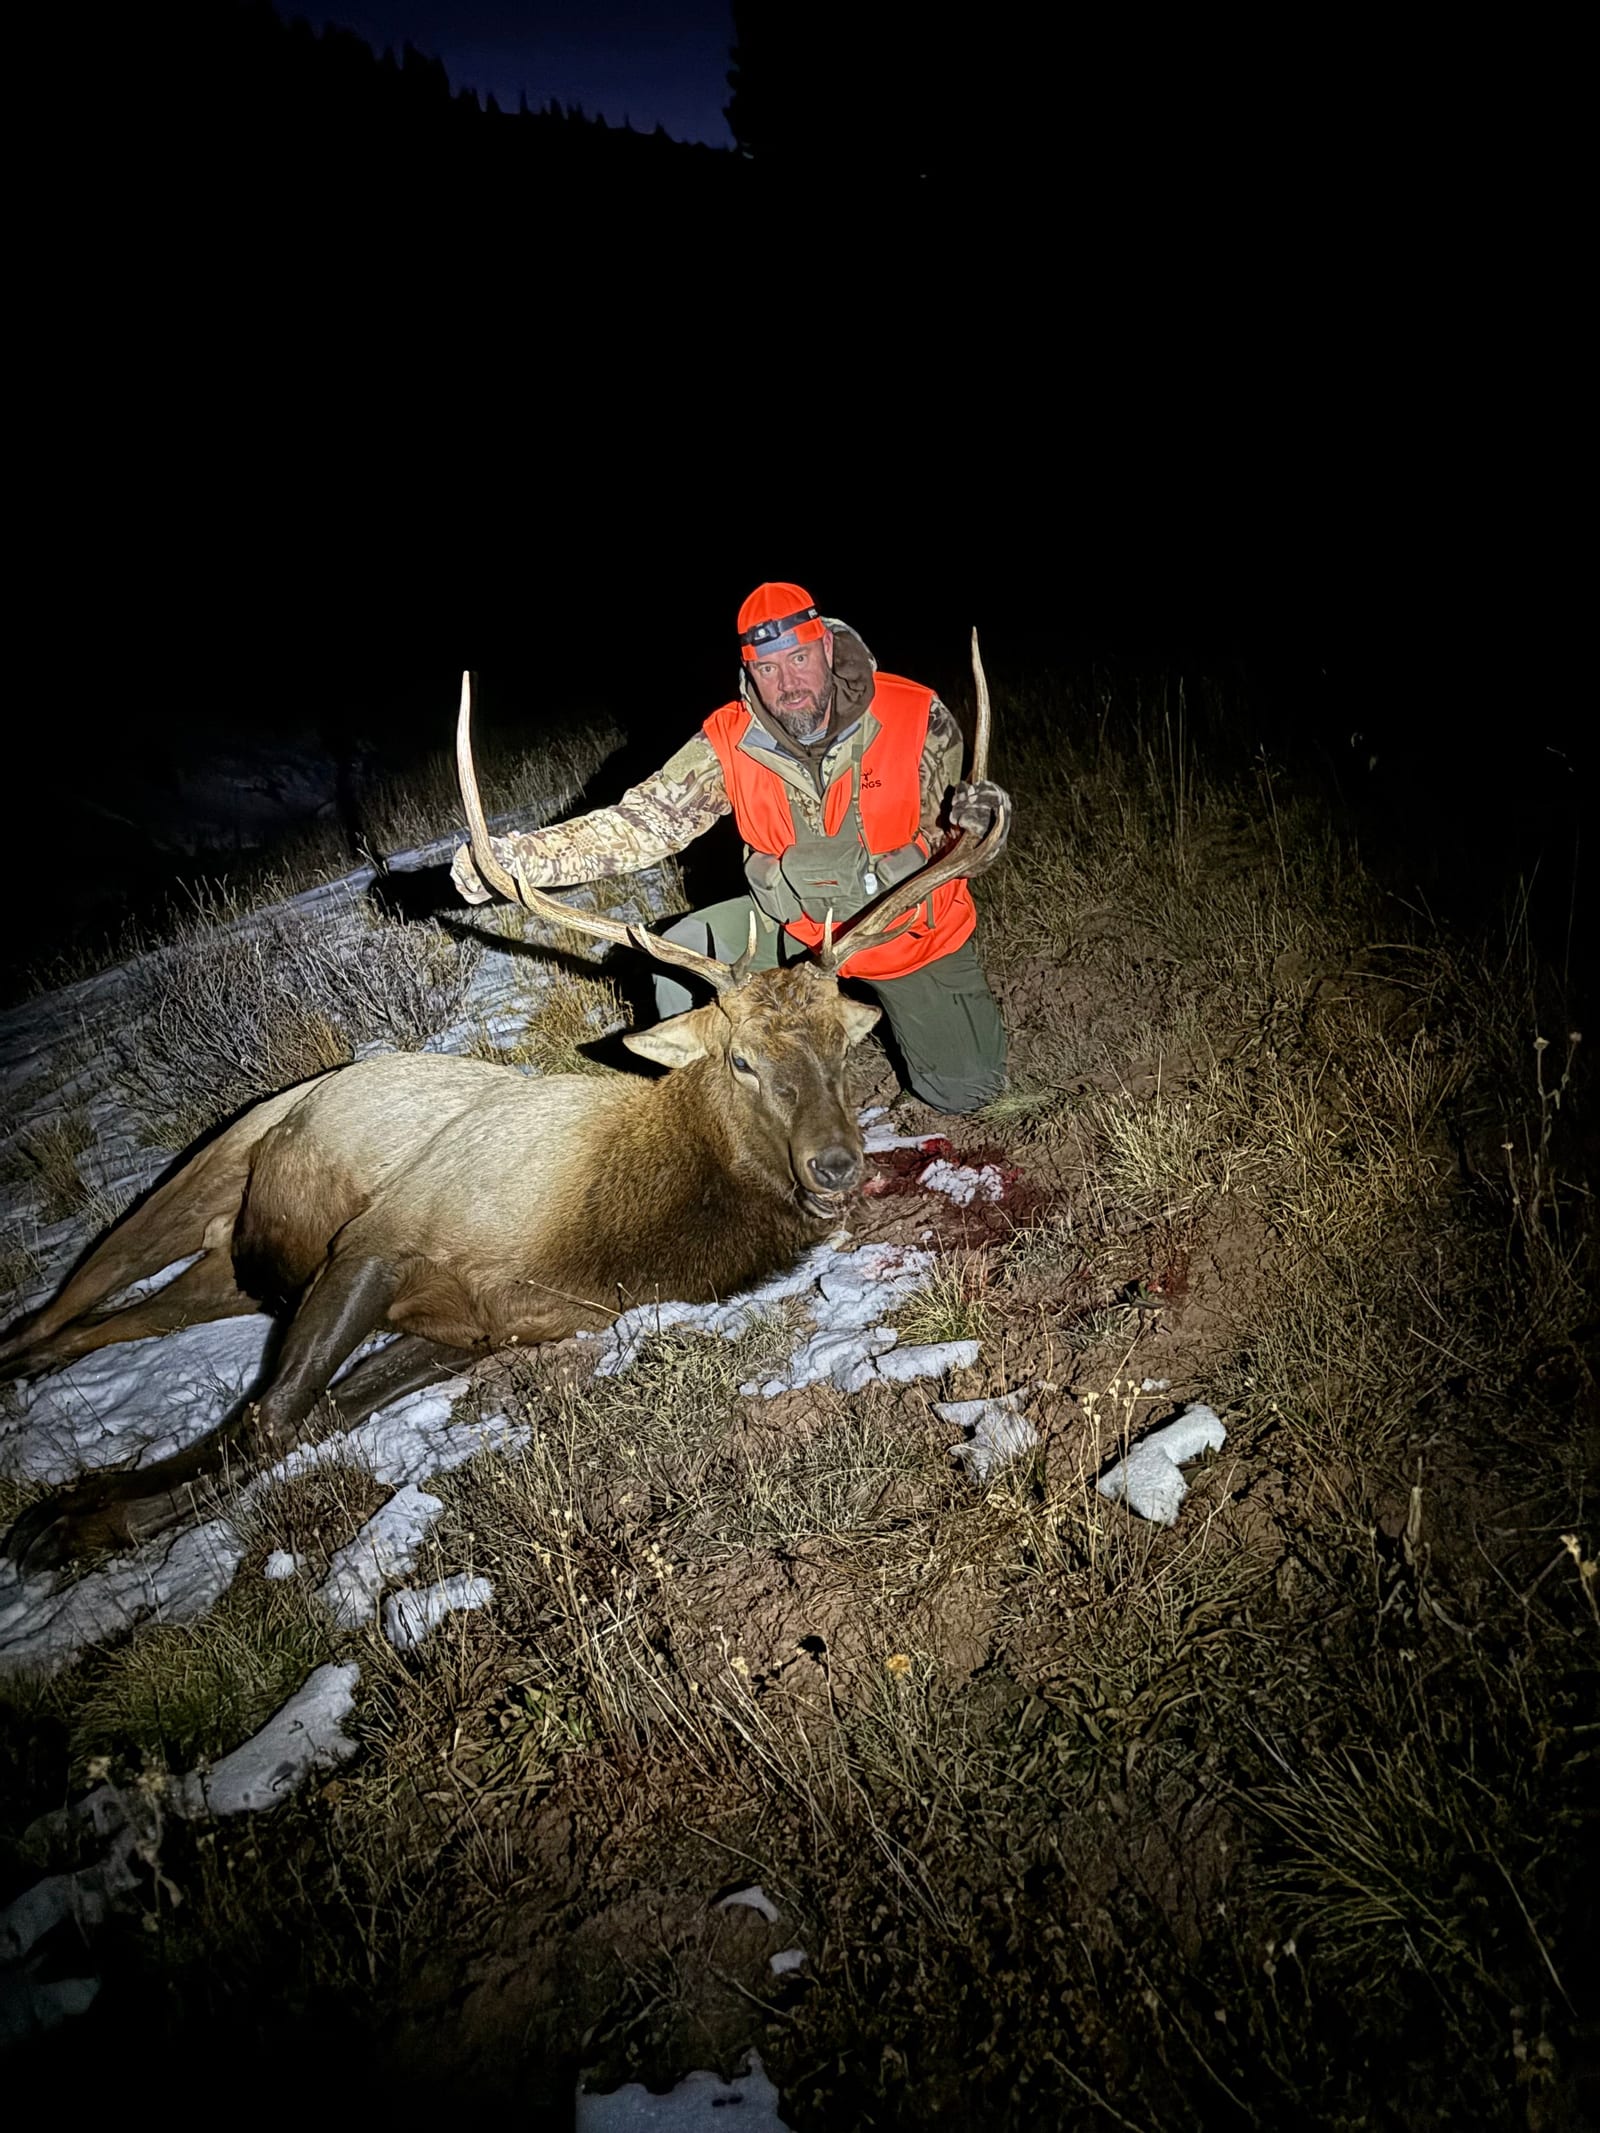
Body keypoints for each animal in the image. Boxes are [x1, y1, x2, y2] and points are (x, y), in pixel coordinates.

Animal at [1, 648, 1003, 1572]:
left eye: (844, 1044)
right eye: (742, 1061)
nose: (836, 1162)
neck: (601, 1240)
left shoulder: (474, 1326)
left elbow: (293, 1422)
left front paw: (80, 1514)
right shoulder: (382, 1236)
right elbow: (272, 1418)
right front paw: (65, 1519)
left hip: (229, 1268)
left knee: (100, 1326)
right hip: (212, 1166)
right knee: (61, 1305)